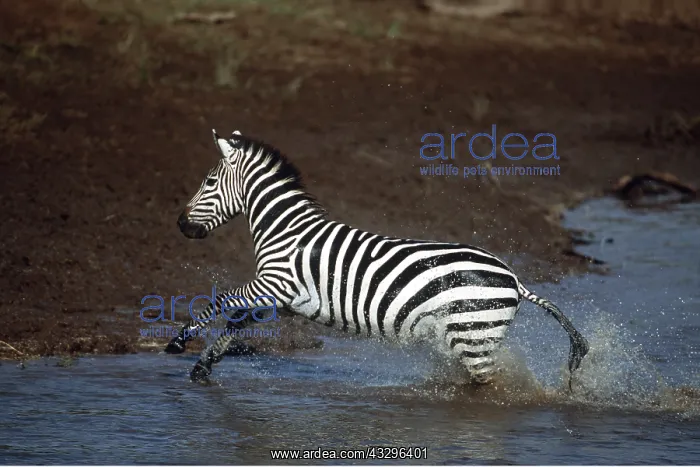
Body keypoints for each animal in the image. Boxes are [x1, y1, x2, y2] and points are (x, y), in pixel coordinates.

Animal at [165, 129, 590, 388]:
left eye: (208, 182)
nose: (181, 225)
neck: (286, 230)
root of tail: (514, 277)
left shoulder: (274, 283)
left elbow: (219, 301)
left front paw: (176, 343)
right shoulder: (275, 296)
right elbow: (234, 322)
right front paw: (202, 367)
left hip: (474, 336)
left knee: (489, 387)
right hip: (475, 337)